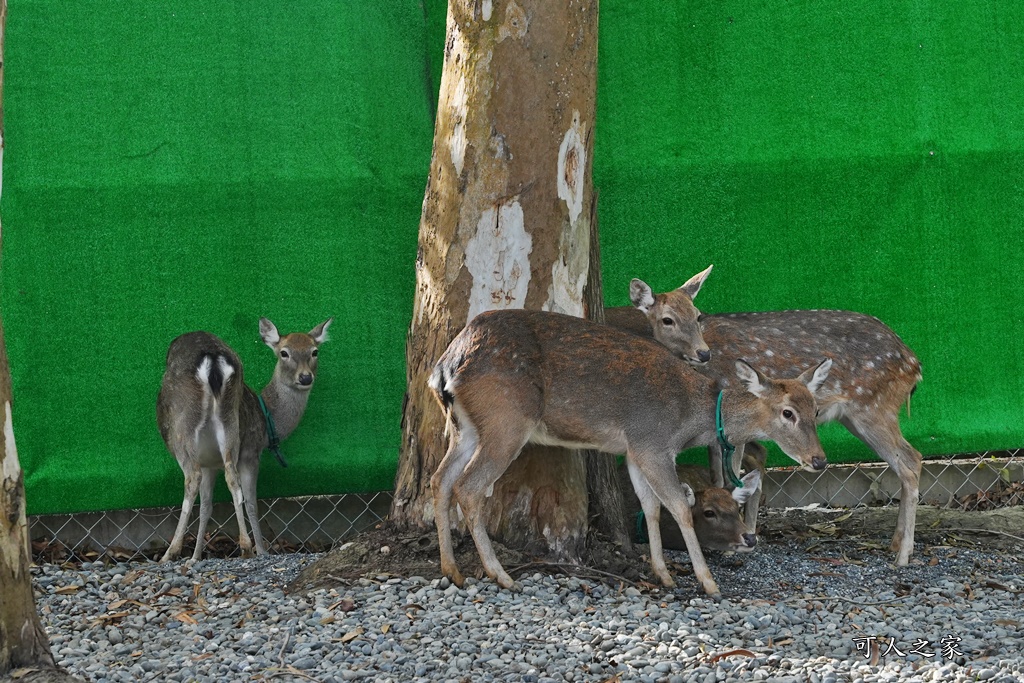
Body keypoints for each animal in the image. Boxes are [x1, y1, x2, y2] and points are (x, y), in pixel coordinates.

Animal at [155, 317, 331, 565]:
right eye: (284, 353)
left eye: (314, 351)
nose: (305, 377)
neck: (266, 424)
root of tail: (212, 359)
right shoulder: (234, 457)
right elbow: (223, 505)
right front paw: (199, 556)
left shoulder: (234, 457)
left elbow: (231, 504)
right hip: (219, 427)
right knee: (224, 478)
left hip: (192, 428)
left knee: (197, 478)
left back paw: (175, 551)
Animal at [425, 309, 831, 598]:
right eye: (788, 413)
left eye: (816, 410)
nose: (820, 460)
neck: (690, 419)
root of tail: (444, 368)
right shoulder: (652, 442)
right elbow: (678, 505)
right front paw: (708, 582)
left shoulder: (635, 450)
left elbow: (649, 506)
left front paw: (663, 574)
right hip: (506, 421)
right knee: (468, 487)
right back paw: (502, 576)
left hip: (464, 427)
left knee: (440, 479)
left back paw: (452, 570)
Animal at [602, 266, 925, 565]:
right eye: (667, 319)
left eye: (697, 316)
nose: (703, 352)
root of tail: (914, 364)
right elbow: (718, 477)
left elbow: (732, 479)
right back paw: (895, 543)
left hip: (874, 409)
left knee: (911, 460)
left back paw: (904, 554)